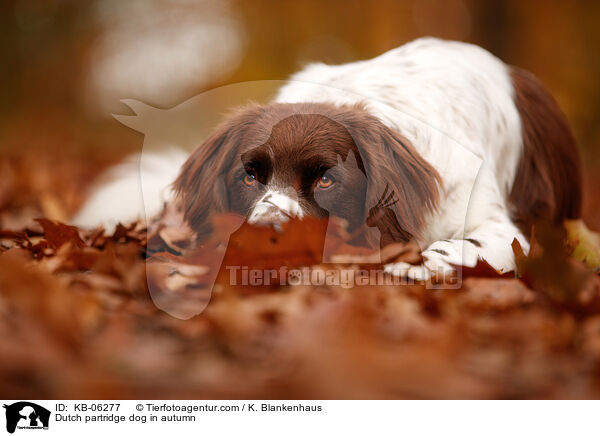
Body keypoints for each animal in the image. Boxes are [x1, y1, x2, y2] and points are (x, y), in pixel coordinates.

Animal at [72, 37, 580, 280]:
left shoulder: (499, 227)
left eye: (326, 181)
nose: (262, 235)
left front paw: (412, 265)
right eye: (249, 177)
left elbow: (459, 246)